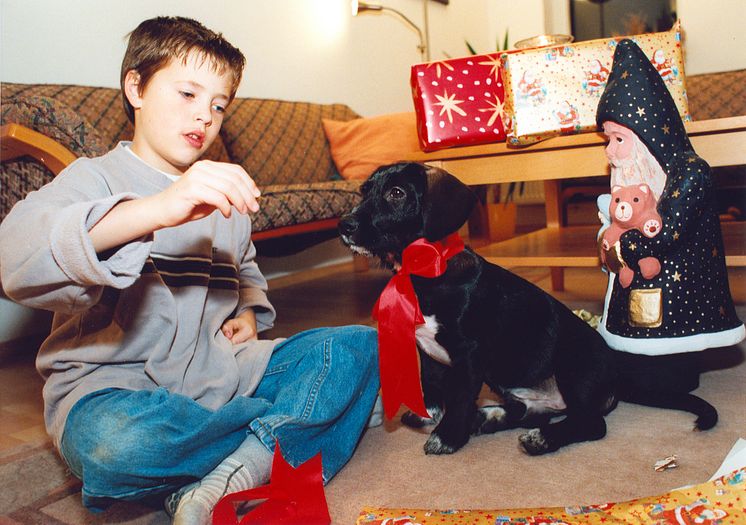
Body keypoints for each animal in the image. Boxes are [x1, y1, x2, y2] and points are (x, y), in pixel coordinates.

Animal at [338, 163, 616, 454]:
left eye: (396, 193)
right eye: (364, 191)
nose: (344, 224)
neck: (426, 269)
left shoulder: (469, 354)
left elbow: (459, 397)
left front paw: (447, 436)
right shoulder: (425, 350)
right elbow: (431, 383)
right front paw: (430, 415)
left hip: (572, 367)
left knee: (592, 423)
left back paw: (541, 438)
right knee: (530, 412)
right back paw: (487, 417)